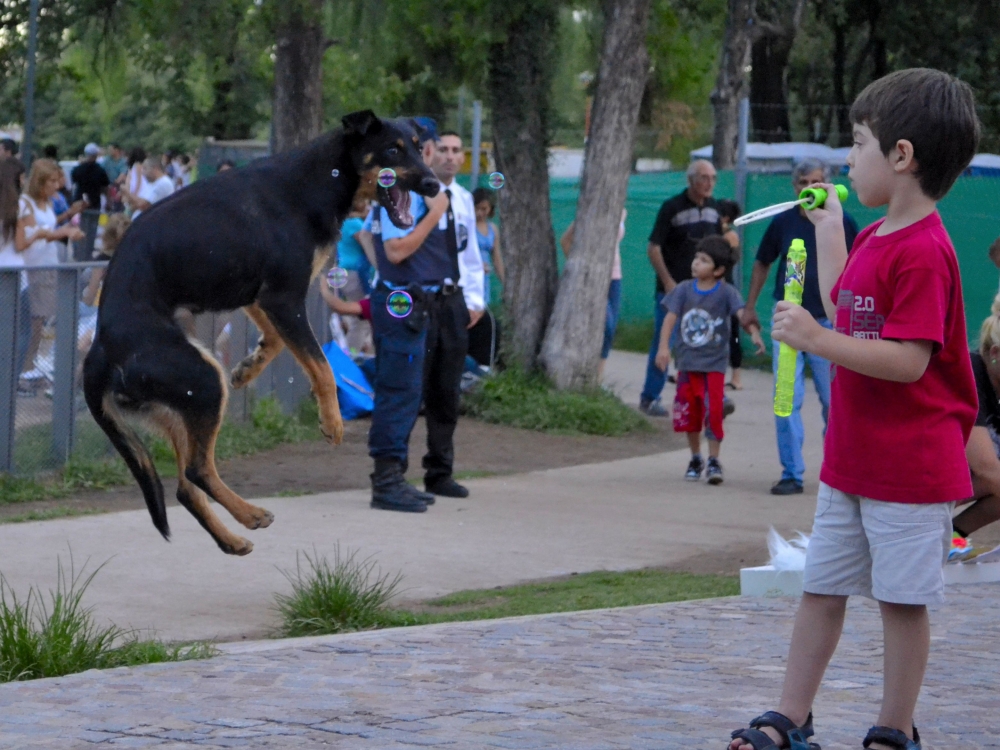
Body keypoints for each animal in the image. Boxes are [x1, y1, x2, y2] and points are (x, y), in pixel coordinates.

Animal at [88, 113, 440, 560]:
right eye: (393, 149)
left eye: (418, 146)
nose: (435, 185)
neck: (323, 176)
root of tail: (99, 347)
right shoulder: (284, 298)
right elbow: (321, 365)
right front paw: (332, 421)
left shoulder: (261, 297)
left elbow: (275, 342)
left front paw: (249, 367)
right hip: (202, 380)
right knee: (197, 470)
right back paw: (251, 514)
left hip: (180, 405)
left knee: (186, 487)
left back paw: (233, 538)